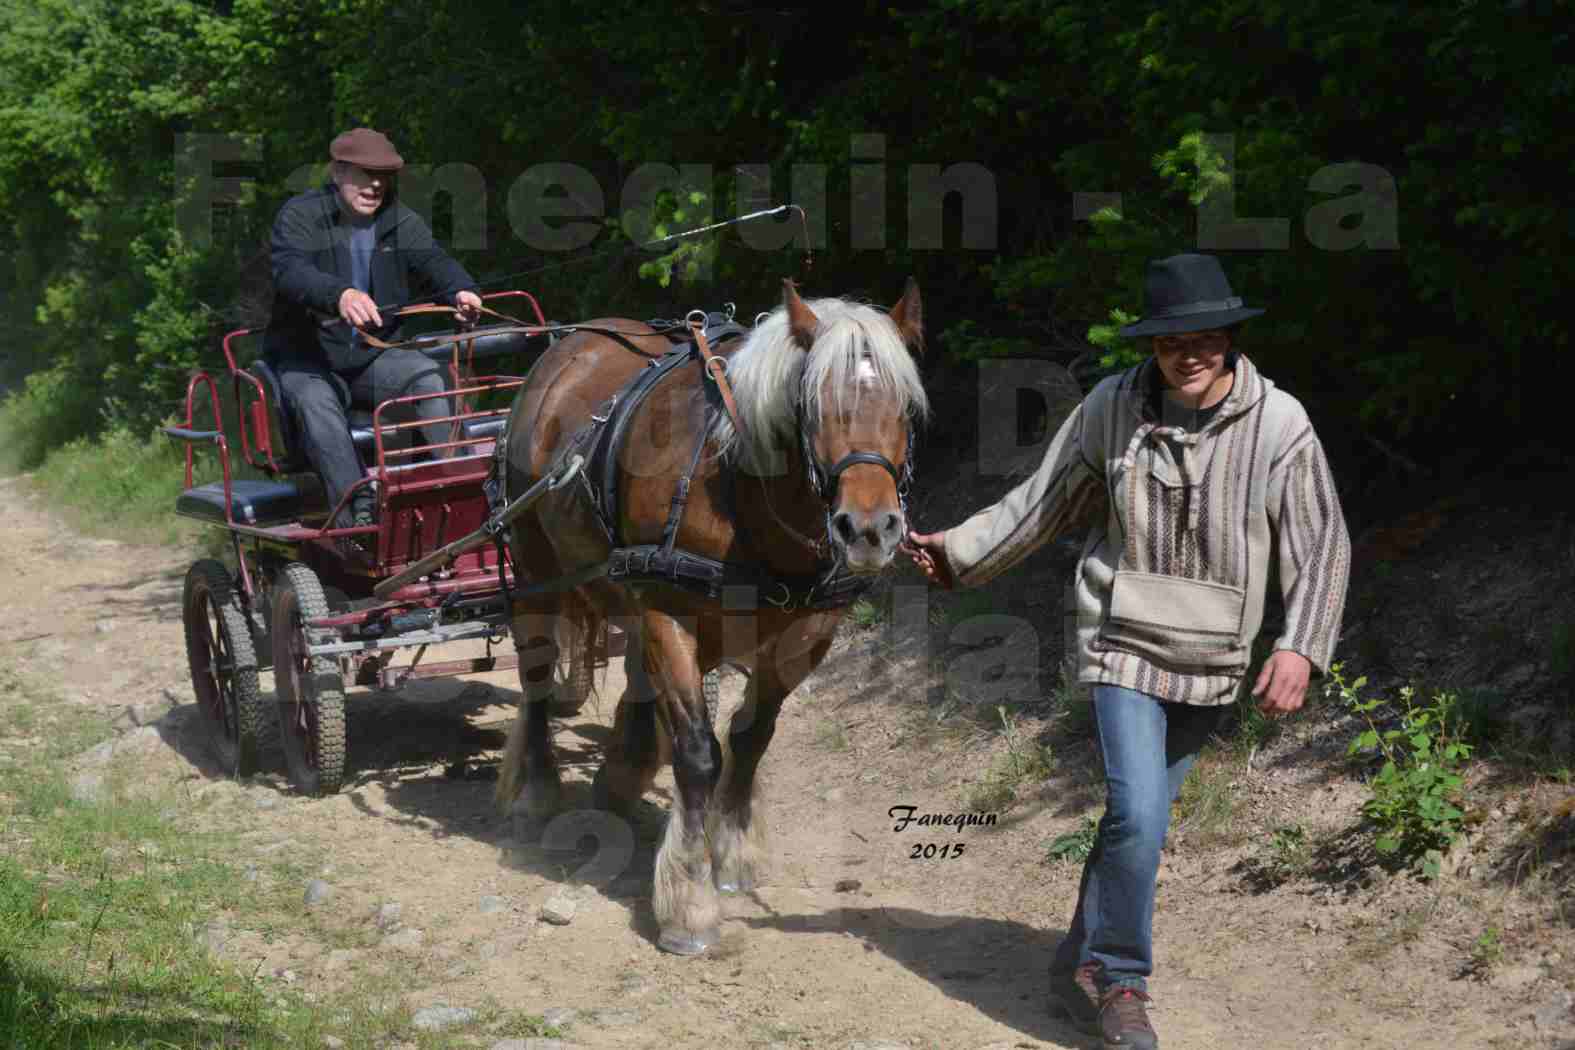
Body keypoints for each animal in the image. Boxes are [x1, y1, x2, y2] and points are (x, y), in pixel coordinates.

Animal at [497, 277, 926, 950]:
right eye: (812, 406)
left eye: (905, 406)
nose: (869, 529)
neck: (739, 488)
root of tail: (570, 344)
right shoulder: (669, 616)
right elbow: (699, 752)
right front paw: (688, 901)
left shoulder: (807, 633)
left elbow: (751, 736)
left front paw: (733, 853)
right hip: (539, 566)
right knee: (537, 674)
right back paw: (535, 789)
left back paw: (622, 773)